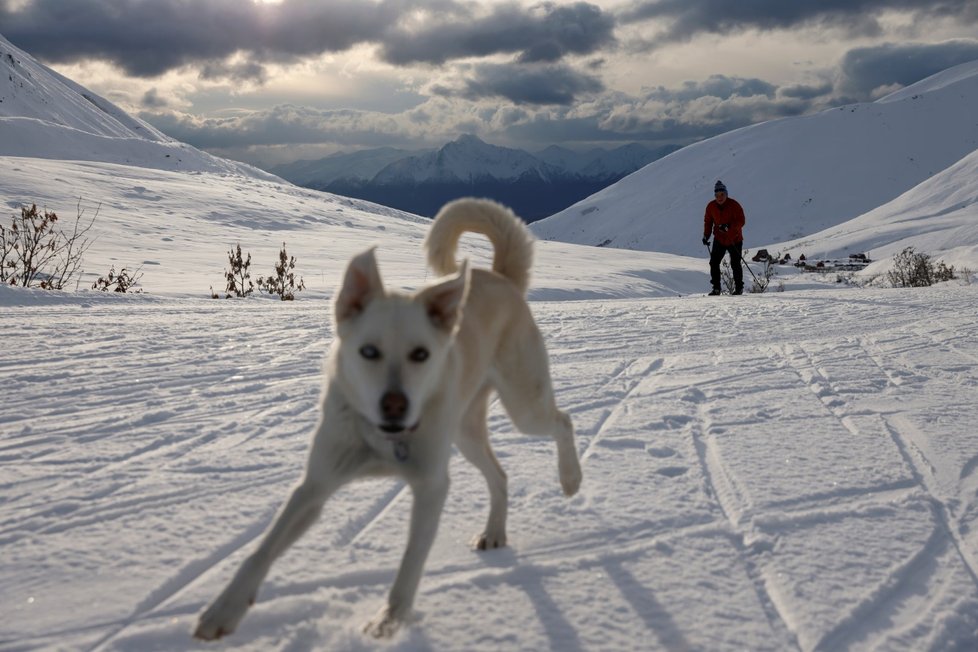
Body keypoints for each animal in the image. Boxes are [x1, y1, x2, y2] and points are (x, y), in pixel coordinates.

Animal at [194, 196, 584, 640]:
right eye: (368, 351)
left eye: (421, 354)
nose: (395, 405)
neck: (381, 440)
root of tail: (501, 277)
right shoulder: (314, 487)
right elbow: (260, 551)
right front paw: (222, 611)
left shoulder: (431, 487)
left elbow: (411, 561)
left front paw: (389, 620)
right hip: (465, 433)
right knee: (499, 476)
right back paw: (494, 532)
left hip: (523, 405)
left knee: (563, 421)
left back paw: (571, 479)